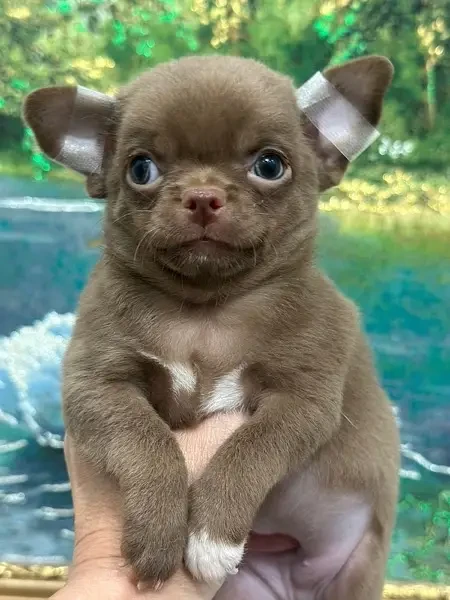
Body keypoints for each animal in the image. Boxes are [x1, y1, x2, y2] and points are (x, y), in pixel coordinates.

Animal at [23, 54, 400, 596]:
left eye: (270, 165)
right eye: (141, 169)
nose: (203, 196)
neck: (205, 312)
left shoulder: (303, 402)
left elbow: (251, 448)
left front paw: (211, 535)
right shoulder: (97, 387)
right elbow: (147, 441)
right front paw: (158, 532)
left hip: (360, 570)